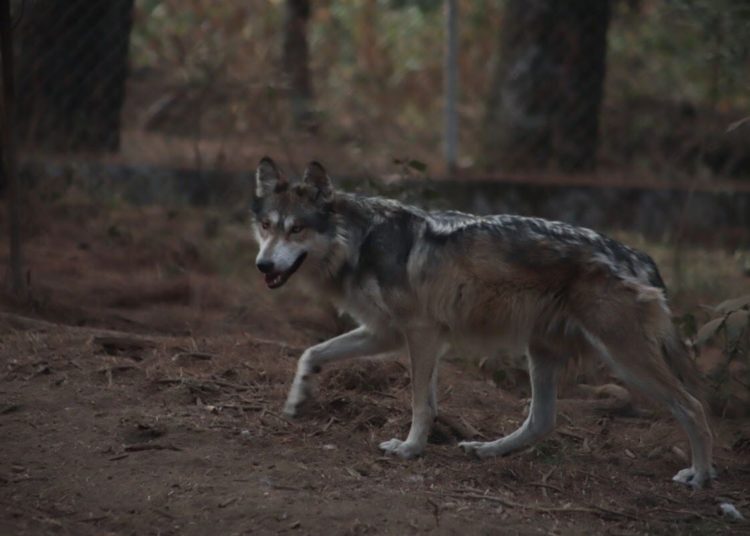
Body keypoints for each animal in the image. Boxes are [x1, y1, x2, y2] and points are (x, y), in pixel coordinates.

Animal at [250, 156, 714, 489]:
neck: (358, 241)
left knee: (693, 406)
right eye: (267, 226)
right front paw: (298, 399)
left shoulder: (420, 334)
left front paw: (410, 448)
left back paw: (700, 476)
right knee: (542, 421)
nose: (263, 265)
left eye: (297, 229)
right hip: (542, 353)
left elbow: (420, 403)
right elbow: (311, 353)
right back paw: (485, 450)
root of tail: (638, 256)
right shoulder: (388, 333)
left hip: (623, 360)